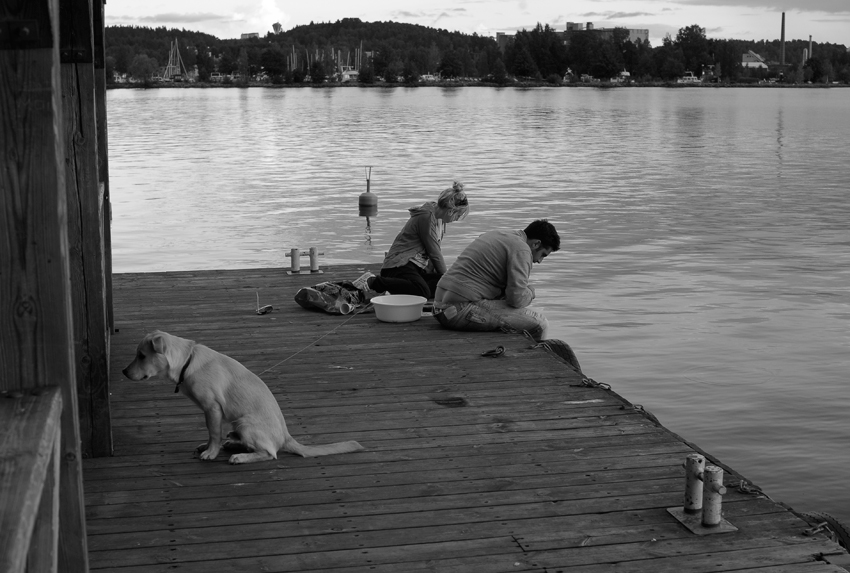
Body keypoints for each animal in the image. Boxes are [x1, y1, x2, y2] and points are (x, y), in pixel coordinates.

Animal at [124, 330, 362, 464]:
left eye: (142, 356)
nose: (123, 372)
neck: (187, 362)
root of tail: (286, 437)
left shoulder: (212, 408)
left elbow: (214, 434)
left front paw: (210, 453)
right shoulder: (213, 413)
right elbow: (213, 434)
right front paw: (209, 447)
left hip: (245, 423)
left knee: (269, 453)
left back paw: (239, 457)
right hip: (238, 424)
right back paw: (233, 445)